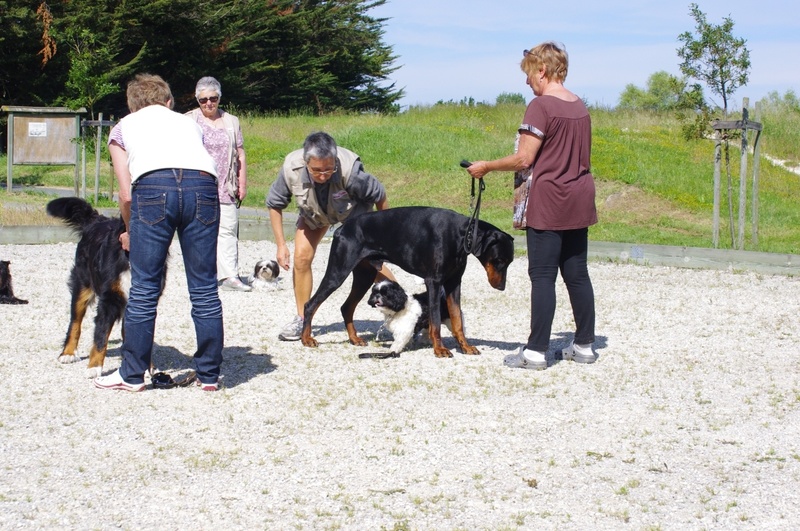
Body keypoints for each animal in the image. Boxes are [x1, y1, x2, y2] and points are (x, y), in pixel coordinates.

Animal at [302, 206, 520, 360]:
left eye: (509, 262)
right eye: (499, 260)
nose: (501, 287)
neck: (460, 234)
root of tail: (341, 228)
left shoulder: (454, 283)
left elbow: (457, 319)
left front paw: (465, 346)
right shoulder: (434, 282)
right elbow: (435, 321)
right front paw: (439, 349)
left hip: (364, 276)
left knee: (346, 307)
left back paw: (354, 338)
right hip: (338, 272)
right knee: (311, 304)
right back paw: (306, 339)